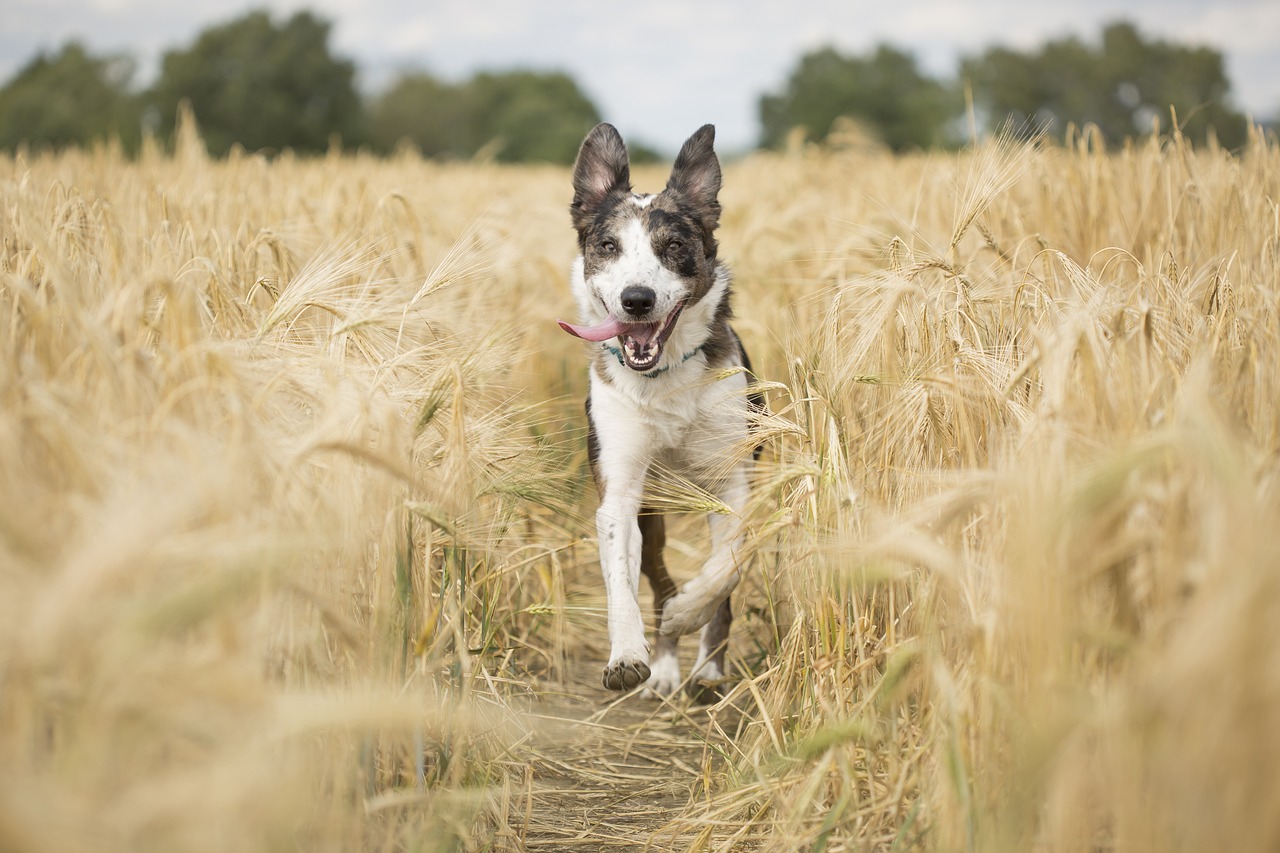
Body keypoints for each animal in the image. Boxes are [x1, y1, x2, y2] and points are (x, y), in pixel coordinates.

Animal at [558, 124, 757, 696]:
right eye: (608, 246)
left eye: (674, 247)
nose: (637, 299)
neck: (664, 378)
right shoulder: (622, 492)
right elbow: (620, 579)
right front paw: (628, 655)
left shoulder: (734, 483)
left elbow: (726, 568)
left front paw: (690, 615)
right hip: (654, 513)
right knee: (658, 577)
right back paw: (665, 667)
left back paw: (705, 667)